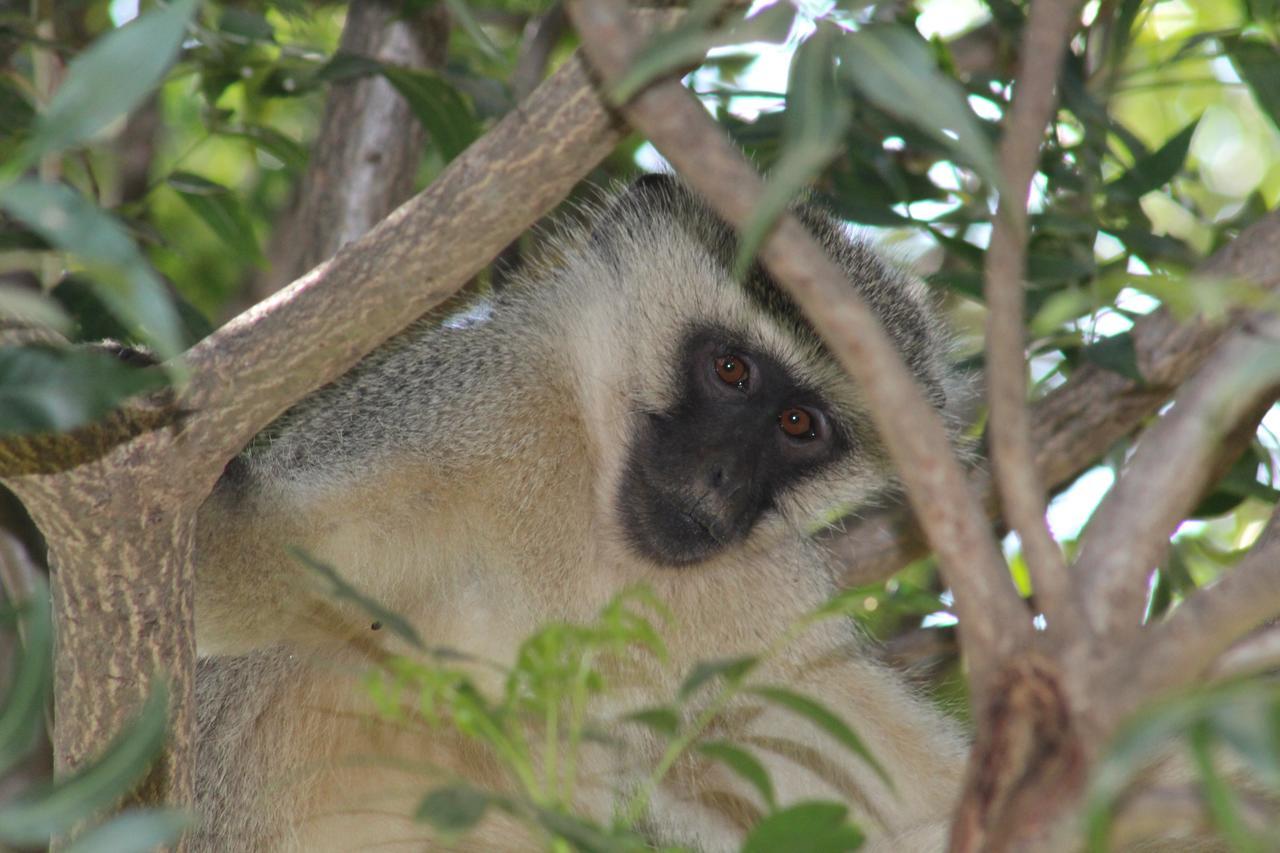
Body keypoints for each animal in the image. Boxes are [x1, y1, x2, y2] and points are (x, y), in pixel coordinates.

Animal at [192, 175, 967, 845]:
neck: (595, 512)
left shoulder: (766, 607)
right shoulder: (467, 408)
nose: (724, 477)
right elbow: (246, 570)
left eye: (800, 424)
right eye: (732, 371)